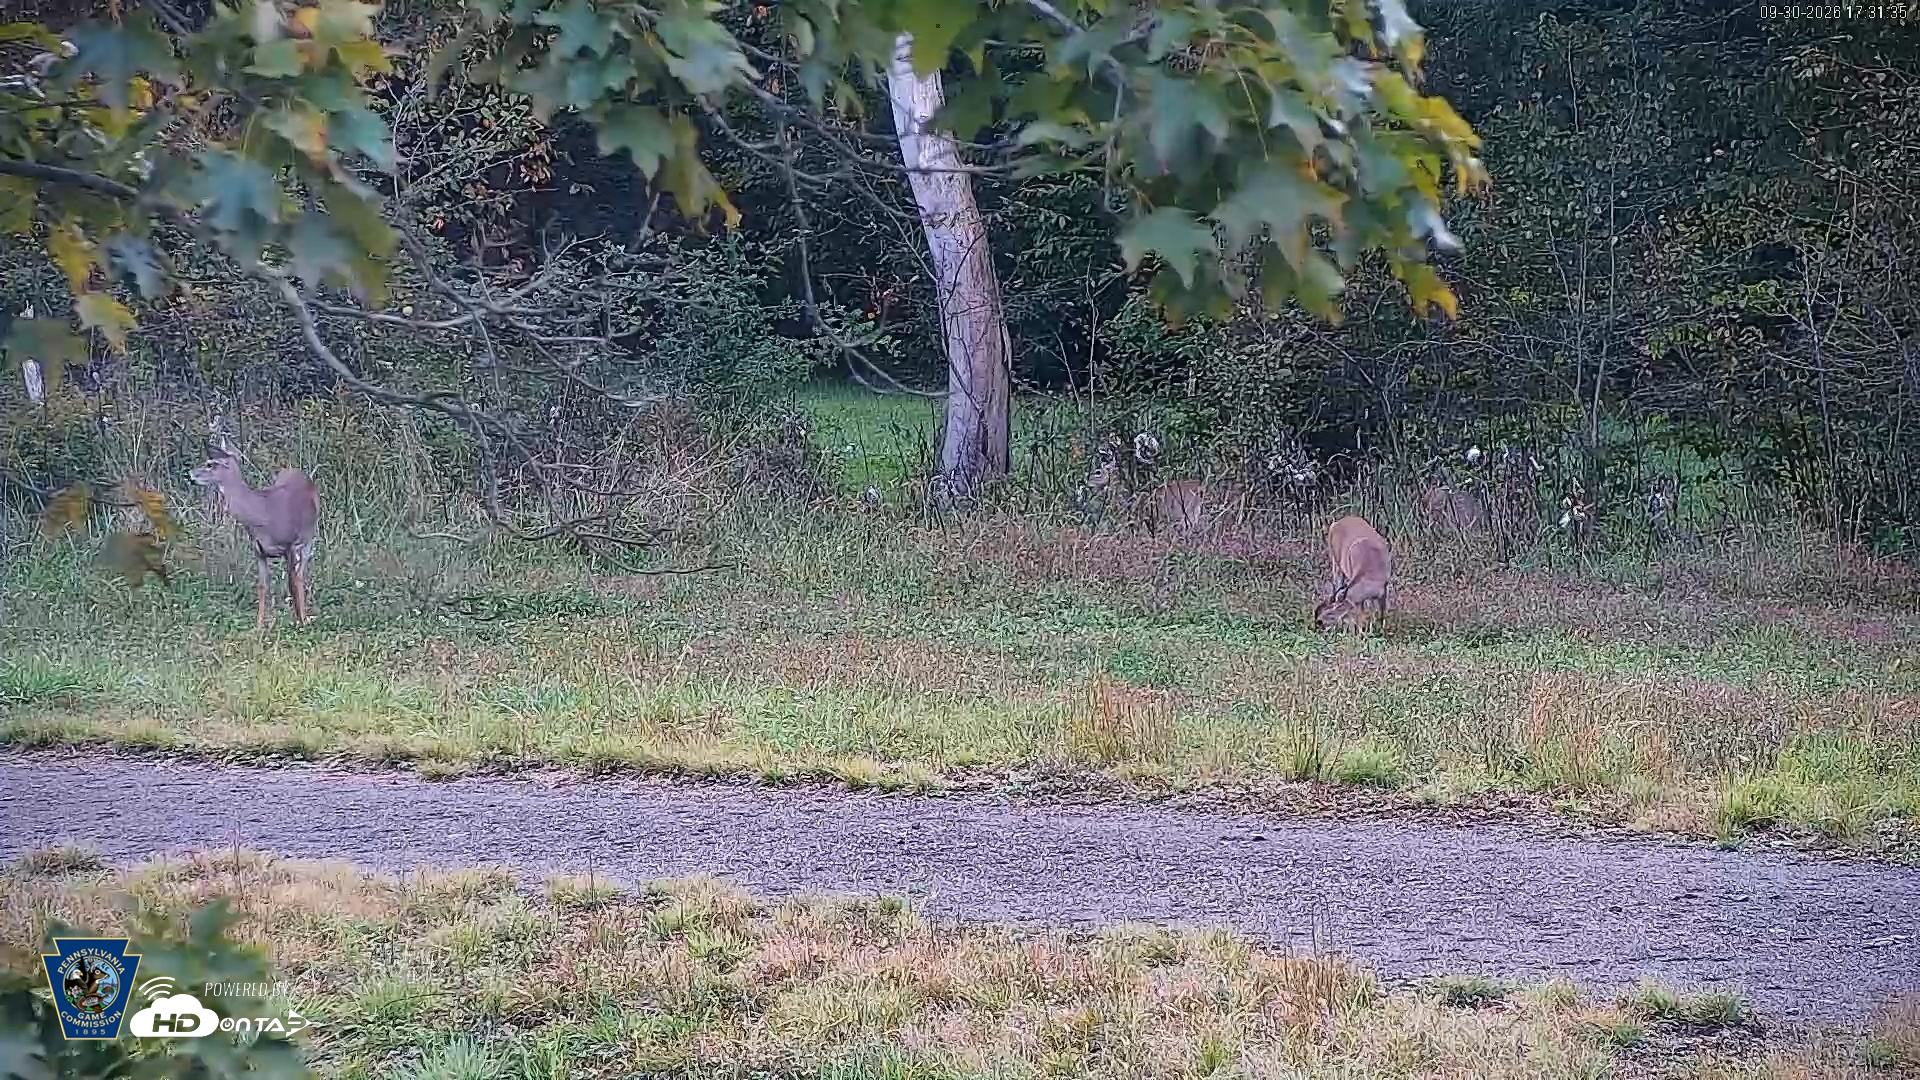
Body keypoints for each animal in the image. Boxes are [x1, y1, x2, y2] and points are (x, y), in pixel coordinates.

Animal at [189, 441, 320, 630]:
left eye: (211, 464)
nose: (190, 474)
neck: (261, 516)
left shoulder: (289, 545)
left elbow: (292, 582)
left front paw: (301, 621)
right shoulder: (259, 551)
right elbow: (262, 585)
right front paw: (259, 624)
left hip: (309, 538)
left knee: (300, 575)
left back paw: (303, 617)